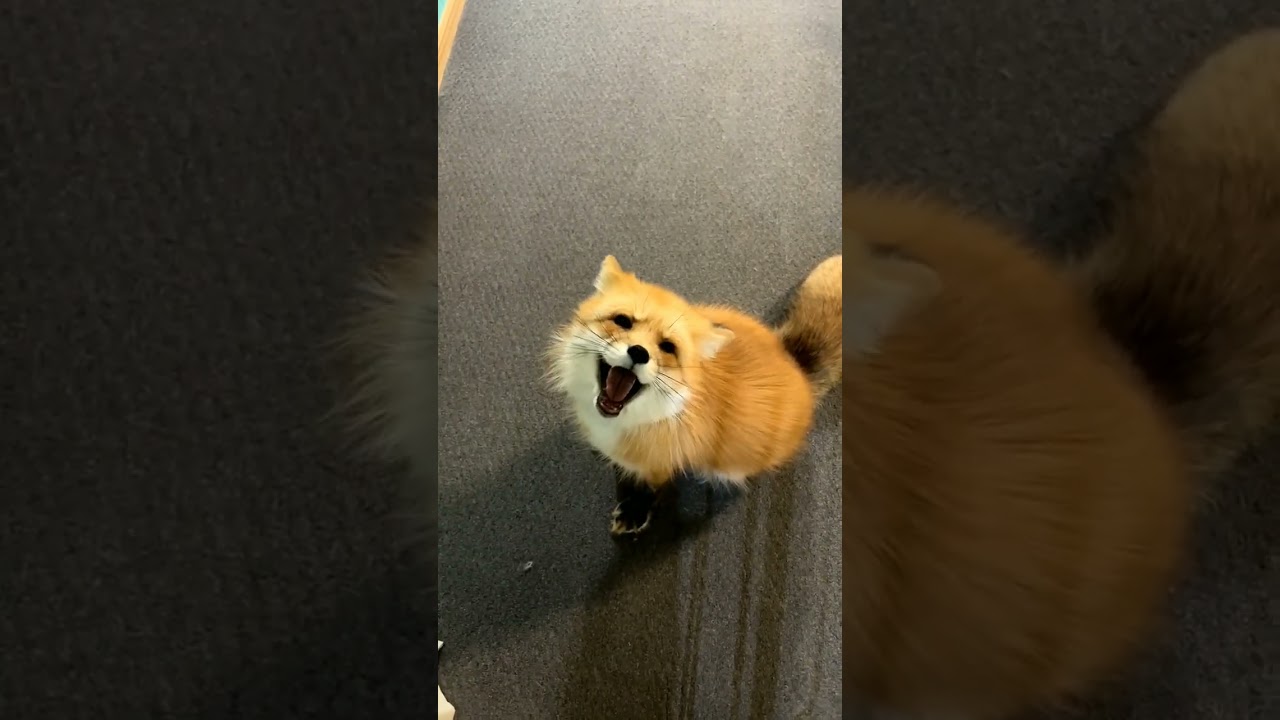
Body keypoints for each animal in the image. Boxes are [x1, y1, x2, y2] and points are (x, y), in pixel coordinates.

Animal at [548, 254, 841, 536]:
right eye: (623, 321)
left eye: (668, 347)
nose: (639, 352)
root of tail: (795, 364)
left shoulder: (660, 462)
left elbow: (649, 487)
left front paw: (634, 511)